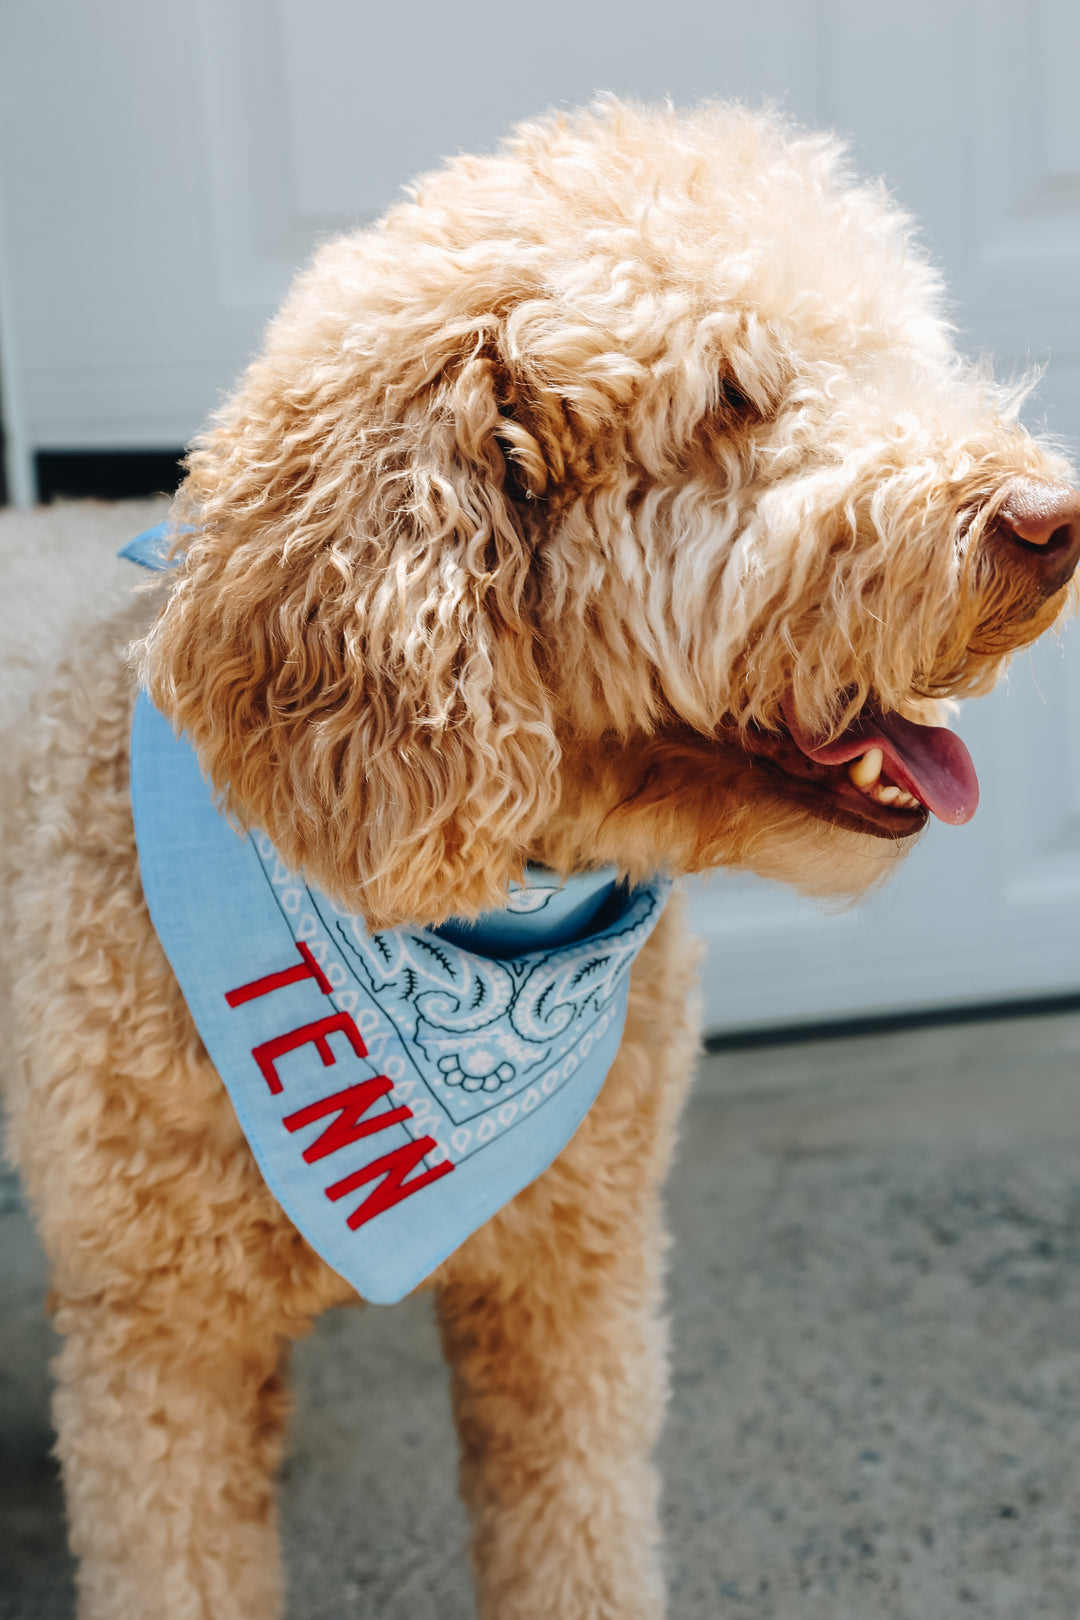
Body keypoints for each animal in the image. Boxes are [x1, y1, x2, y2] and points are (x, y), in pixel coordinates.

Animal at [6, 101, 1080, 1620]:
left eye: (891, 350)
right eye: (731, 398)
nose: (1053, 518)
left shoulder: (575, 1279)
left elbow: (580, 1535)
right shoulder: (160, 1352)